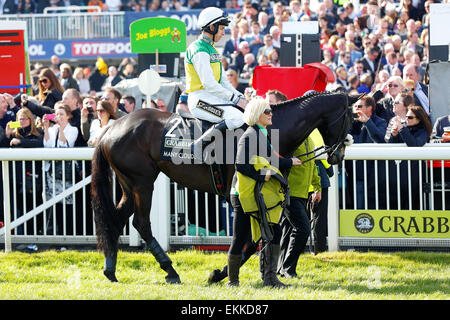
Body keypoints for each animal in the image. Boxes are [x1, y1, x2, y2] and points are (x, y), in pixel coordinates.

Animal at [91, 90, 362, 282]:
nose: (339, 154)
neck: (272, 129)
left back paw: (110, 269)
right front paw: (220, 273)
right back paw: (170, 270)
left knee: (116, 218)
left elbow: (263, 237)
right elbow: (252, 240)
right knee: (141, 223)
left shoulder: (273, 195)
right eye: (351, 117)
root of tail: (111, 127)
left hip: (129, 184)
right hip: (142, 182)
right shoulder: (245, 195)